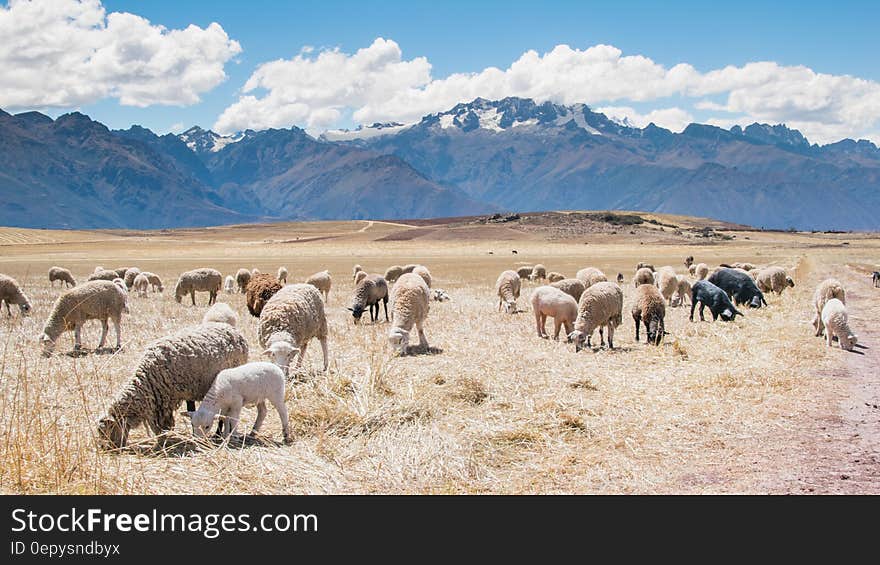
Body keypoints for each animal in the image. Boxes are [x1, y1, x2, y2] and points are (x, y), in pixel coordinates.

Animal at [96, 322, 248, 450]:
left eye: (108, 430)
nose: (107, 448)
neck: (147, 380)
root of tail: (232, 329)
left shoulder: (165, 400)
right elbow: (188, 411)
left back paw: (217, 434)